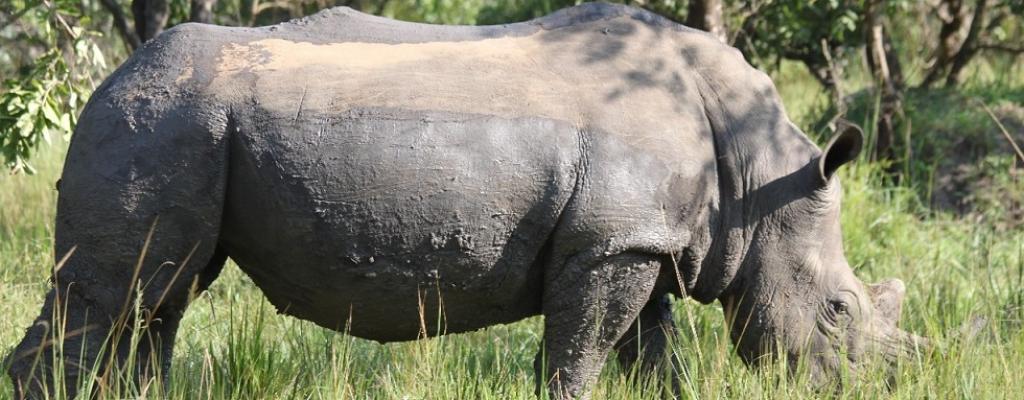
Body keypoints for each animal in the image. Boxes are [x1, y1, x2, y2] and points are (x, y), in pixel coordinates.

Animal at [6, 3, 929, 399]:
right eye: (840, 311)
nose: (883, 387)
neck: (755, 179)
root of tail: (106, 80)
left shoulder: (641, 240)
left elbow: (651, 355)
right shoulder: (611, 243)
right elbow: (578, 355)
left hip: (181, 127)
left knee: (157, 299)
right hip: (158, 122)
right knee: (113, 296)